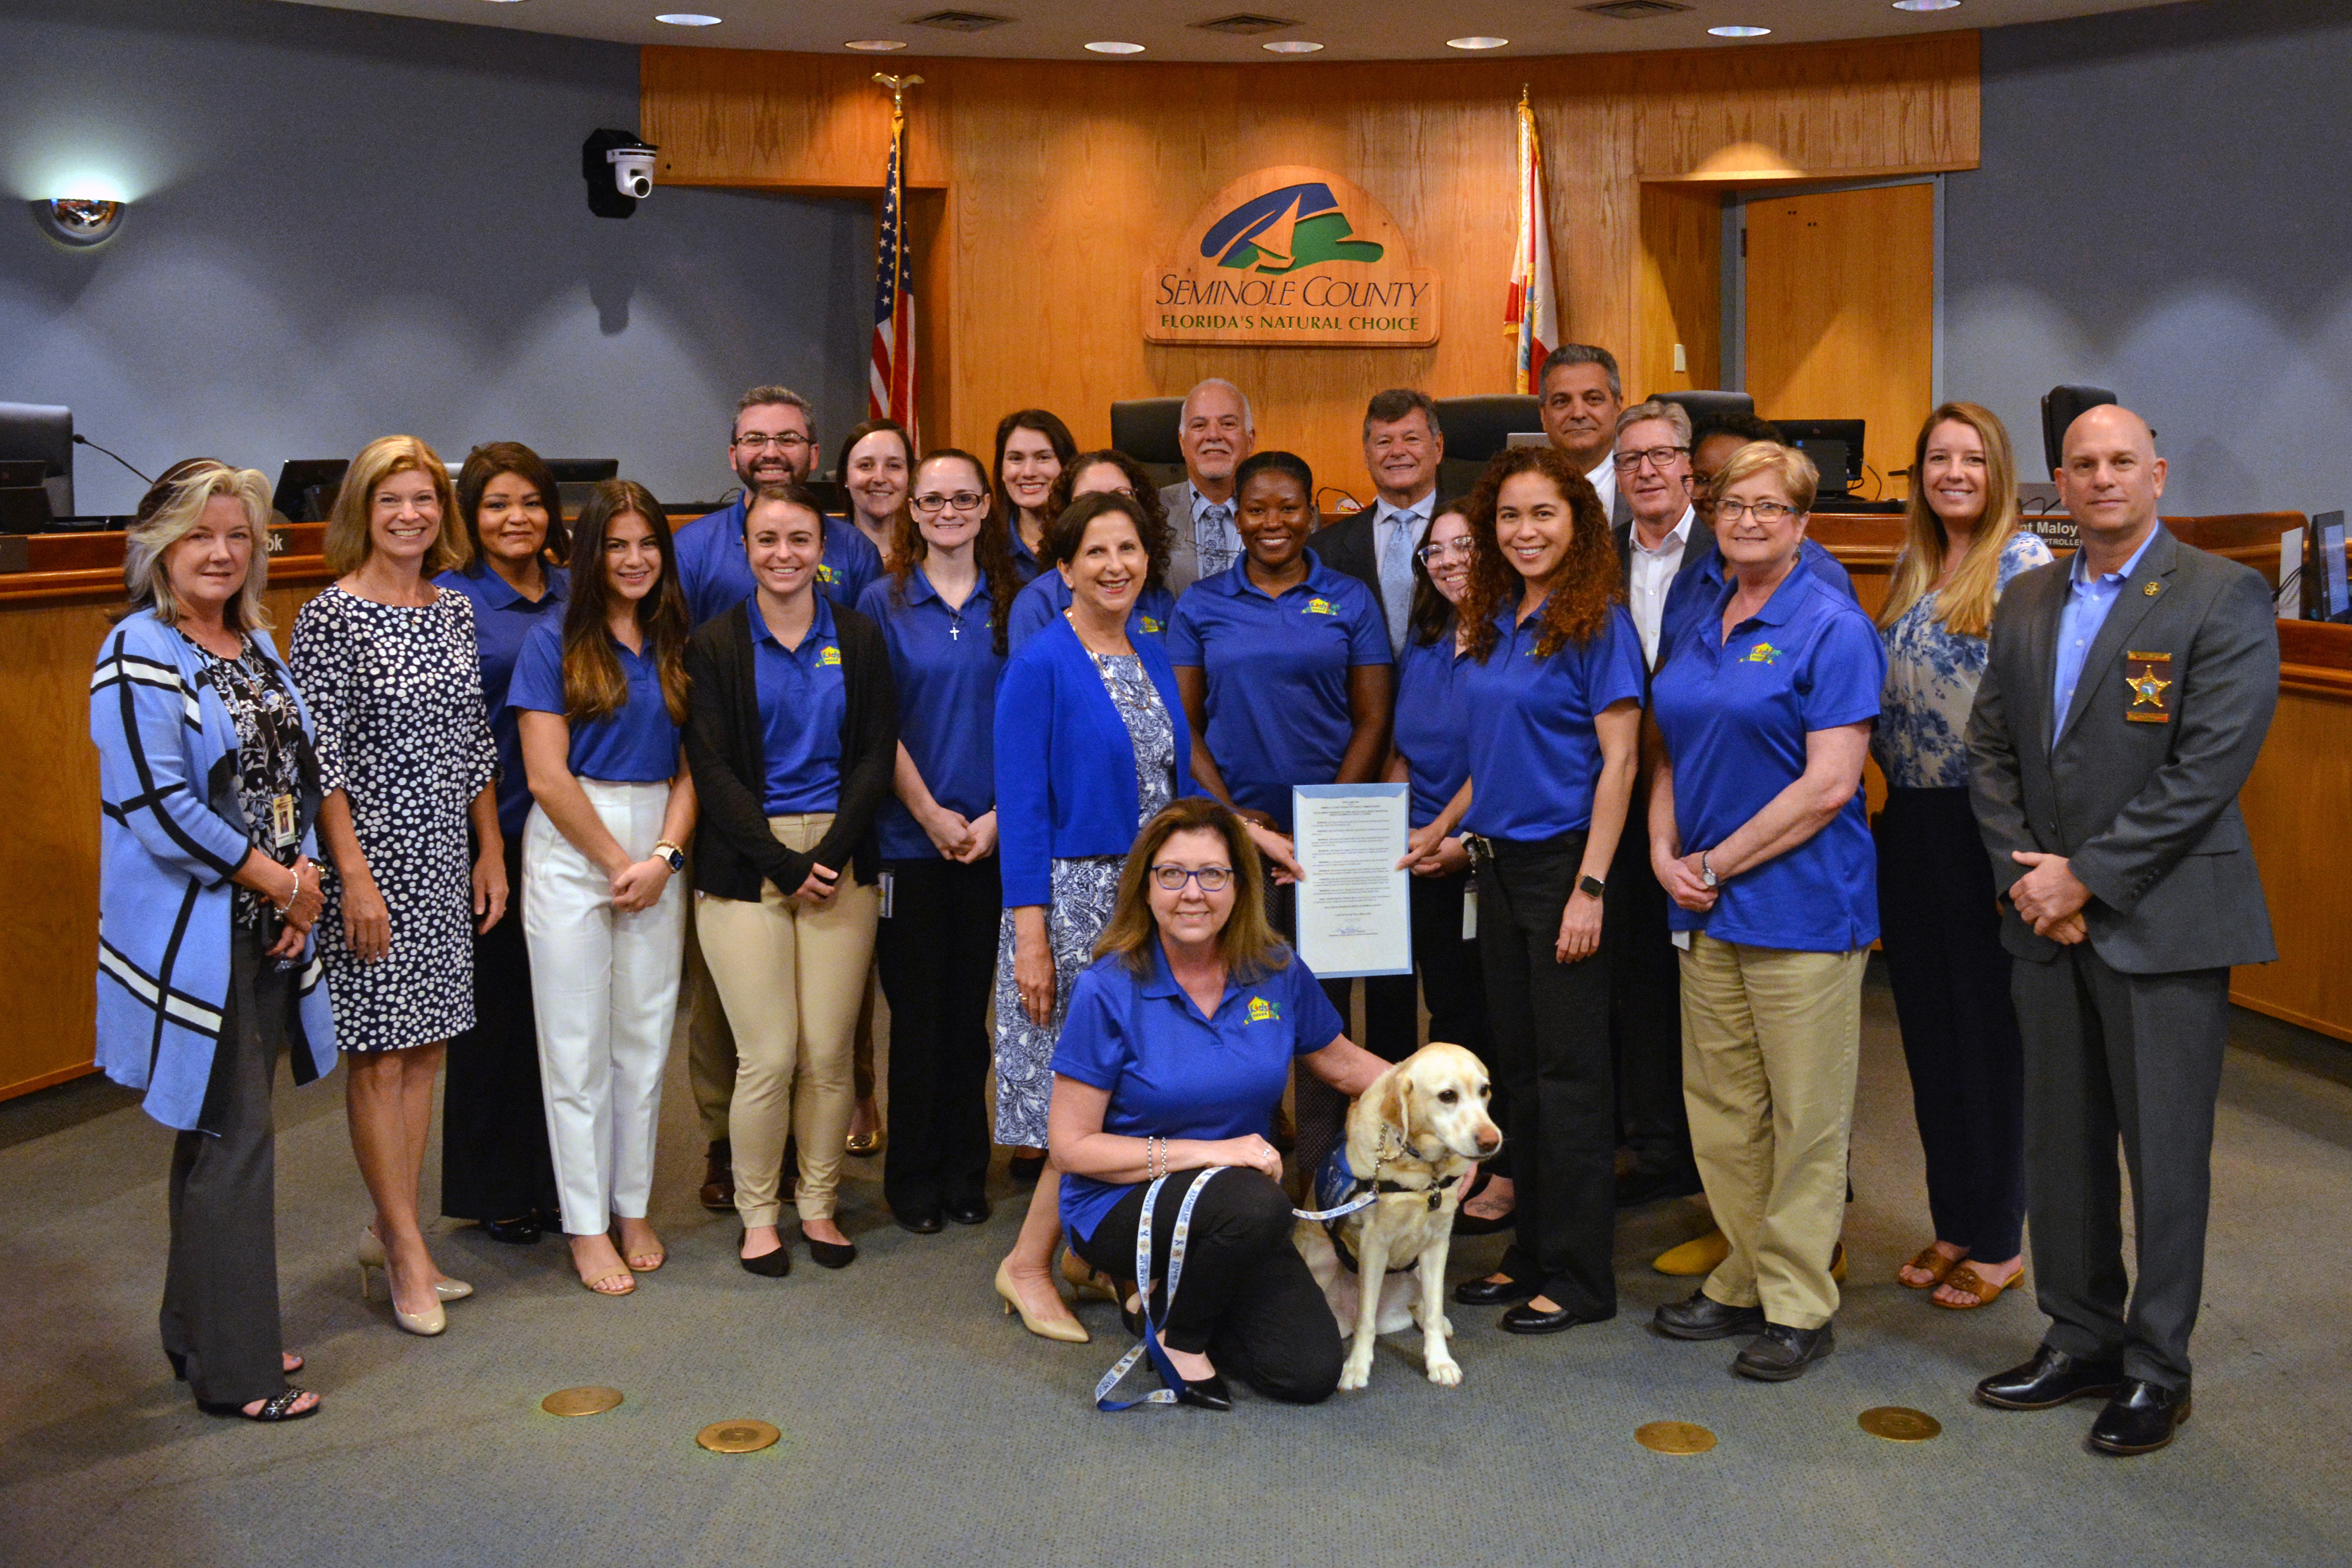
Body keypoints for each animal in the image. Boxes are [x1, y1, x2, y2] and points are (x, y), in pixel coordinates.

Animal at [1298, 1044, 1496, 1382]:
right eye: (1448, 1096)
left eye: (1484, 1090)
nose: (1491, 1141)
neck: (1424, 1171)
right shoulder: (1374, 1245)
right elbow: (1366, 1319)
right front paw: (1356, 1366)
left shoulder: (1437, 1243)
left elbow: (1433, 1311)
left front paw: (1440, 1361)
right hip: (1322, 1260)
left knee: (1425, 1306)